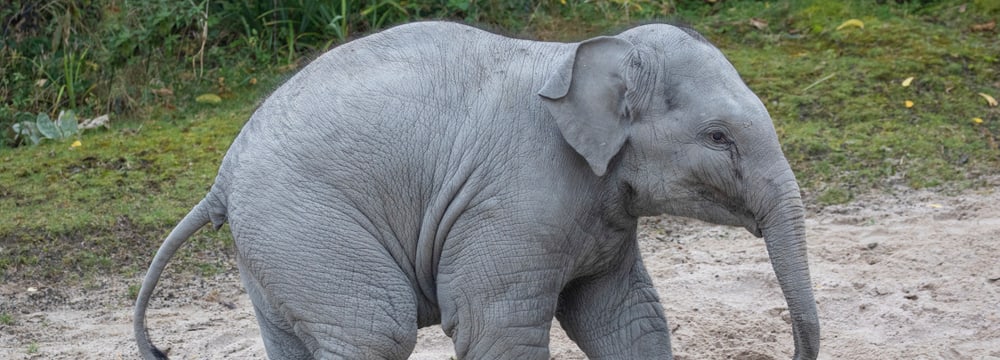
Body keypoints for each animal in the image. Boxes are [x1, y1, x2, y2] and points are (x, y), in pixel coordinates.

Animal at [135, 20, 820, 360]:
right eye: (718, 137)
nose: (788, 351)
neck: (574, 56)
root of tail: (222, 176)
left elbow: (627, 321)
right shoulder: (513, 204)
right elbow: (499, 327)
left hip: (274, 243)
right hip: (304, 223)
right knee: (375, 330)